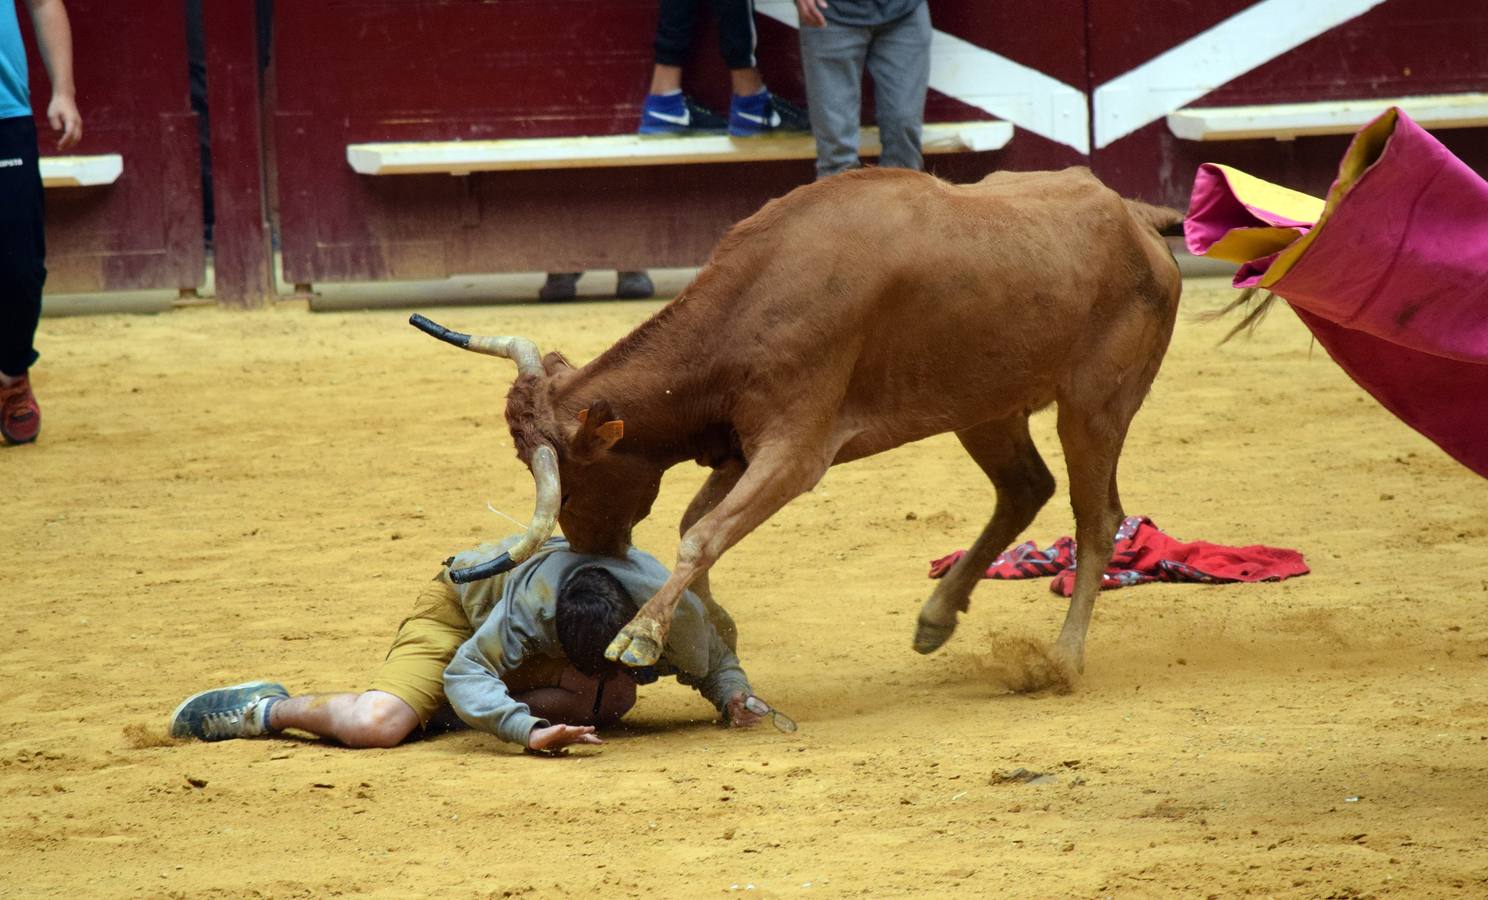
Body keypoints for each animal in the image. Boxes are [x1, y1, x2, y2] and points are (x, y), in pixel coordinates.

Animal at [413, 166, 1178, 672]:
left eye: (571, 479)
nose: (590, 549)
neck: (750, 303)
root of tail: (1135, 217)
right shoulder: (740, 450)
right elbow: (697, 526)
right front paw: (715, 625)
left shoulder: (794, 451)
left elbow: (703, 535)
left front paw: (640, 635)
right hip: (984, 406)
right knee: (1025, 490)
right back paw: (936, 618)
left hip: (1094, 407)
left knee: (1096, 517)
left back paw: (1063, 658)